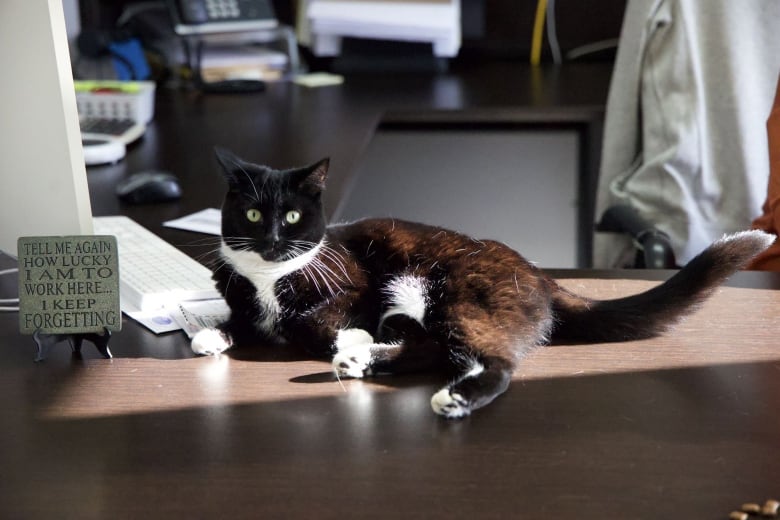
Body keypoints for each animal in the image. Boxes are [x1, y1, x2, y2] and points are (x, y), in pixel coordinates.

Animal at [193, 146, 772, 418]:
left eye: (292, 217)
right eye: (251, 215)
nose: (271, 239)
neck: (268, 276)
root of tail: (537, 273)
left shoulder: (353, 286)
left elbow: (312, 321)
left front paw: (343, 334)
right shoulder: (244, 297)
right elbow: (242, 320)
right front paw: (209, 334)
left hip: (453, 292)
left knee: (493, 362)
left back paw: (445, 393)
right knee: (431, 347)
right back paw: (363, 360)